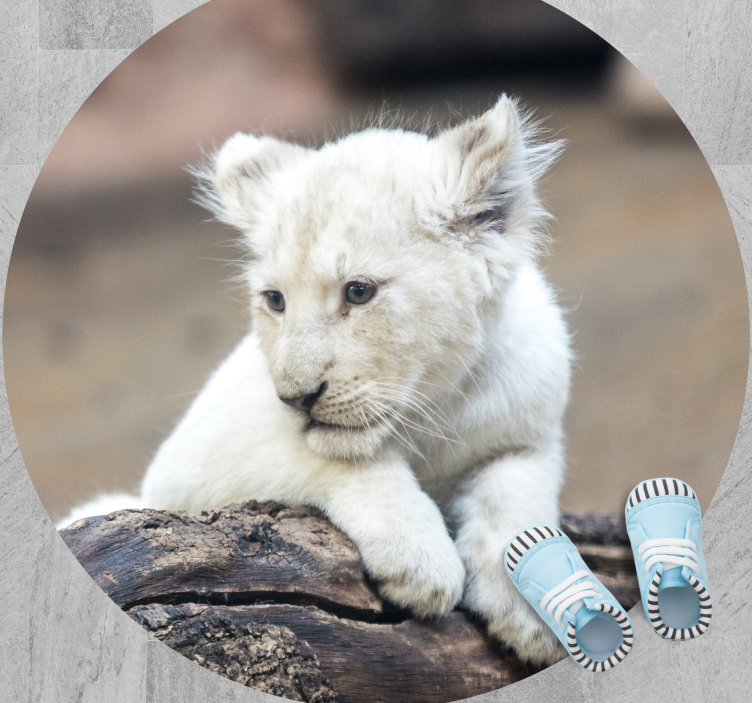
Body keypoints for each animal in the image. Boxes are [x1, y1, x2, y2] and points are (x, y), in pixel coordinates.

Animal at [61, 95, 571, 665]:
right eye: (275, 300)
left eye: (358, 291)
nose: (296, 398)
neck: (431, 410)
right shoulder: (188, 464)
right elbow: (331, 458)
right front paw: (420, 561)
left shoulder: (532, 434)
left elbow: (517, 495)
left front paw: (529, 617)